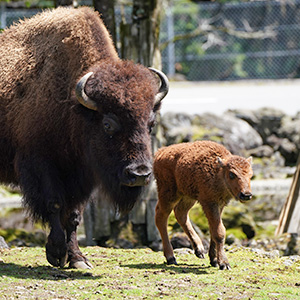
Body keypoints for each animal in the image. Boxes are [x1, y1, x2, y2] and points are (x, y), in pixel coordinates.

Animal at [0, 7, 169, 270]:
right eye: (108, 124)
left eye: (151, 124)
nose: (139, 174)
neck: (74, 106)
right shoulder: (41, 164)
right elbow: (55, 204)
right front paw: (57, 253)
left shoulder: (83, 174)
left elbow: (74, 214)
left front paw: (78, 259)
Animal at [155, 141, 253, 270]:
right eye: (232, 174)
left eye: (251, 175)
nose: (246, 195)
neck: (218, 172)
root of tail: (159, 152)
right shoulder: (209, 203)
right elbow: (219, 231)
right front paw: (224, 263)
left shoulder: (219, 205)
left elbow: (213, 229)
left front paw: (214, 260)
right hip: (169, 194)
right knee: (161, 217)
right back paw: (171, 258)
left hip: (188, 196)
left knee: (180, 213)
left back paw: (199, 250)